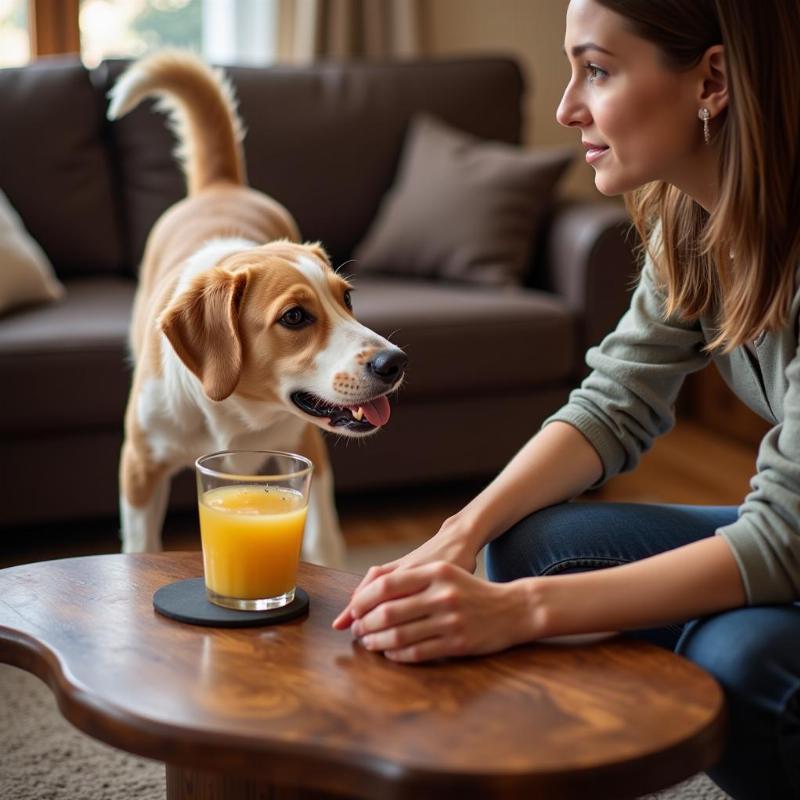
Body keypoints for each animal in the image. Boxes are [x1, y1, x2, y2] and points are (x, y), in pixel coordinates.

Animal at [108, 50, 406, 564]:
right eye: (295, 317)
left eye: (347, 298)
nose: (395, 362)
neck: (234, 409)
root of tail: (220, 186)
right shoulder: (138, 469)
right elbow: (141, 546)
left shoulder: (309, 451)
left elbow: (323, 542)